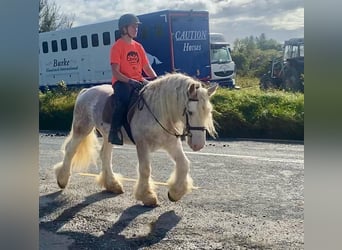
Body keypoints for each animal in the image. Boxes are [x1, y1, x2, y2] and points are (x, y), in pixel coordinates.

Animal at [54, 72, 218, 205]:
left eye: (208, 112)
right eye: (190, 112)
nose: (198, 145)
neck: (158, 111)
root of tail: (86, 91)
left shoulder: (171, 143)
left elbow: (184, 164)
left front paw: (175, 193)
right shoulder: (142, 144)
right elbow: (145, 169)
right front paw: (147, 196)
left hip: (108, 135)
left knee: (105, 155)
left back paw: (112, 184)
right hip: (82, 127)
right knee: (71, 150)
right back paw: (62, 180)